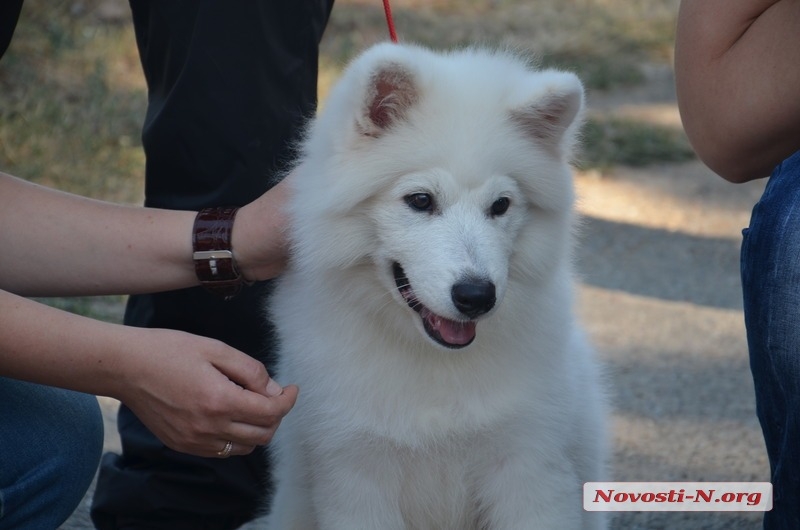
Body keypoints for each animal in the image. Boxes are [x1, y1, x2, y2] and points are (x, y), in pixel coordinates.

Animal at [258, 42, 608, 528]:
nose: (477, 296)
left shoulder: (528, 467)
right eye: (420, 200)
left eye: (501, 205)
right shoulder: (357, 477)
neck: (435, 364)